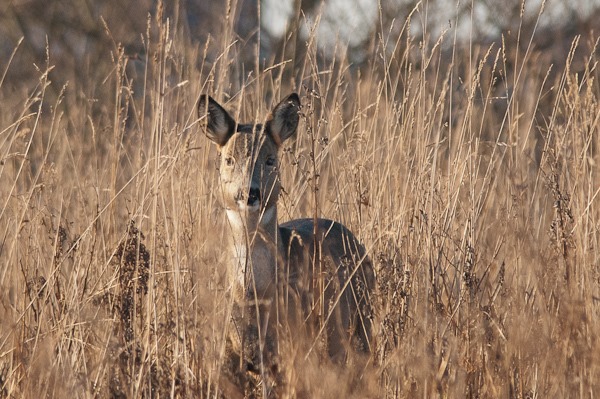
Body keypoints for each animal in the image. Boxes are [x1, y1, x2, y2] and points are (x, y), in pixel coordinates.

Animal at [198, 93, 376, 394]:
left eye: (270, 159)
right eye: (229, 159)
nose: (250, 192)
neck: (255, 298)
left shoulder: (293, 354)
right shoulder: (231, 359)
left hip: (356, 325)